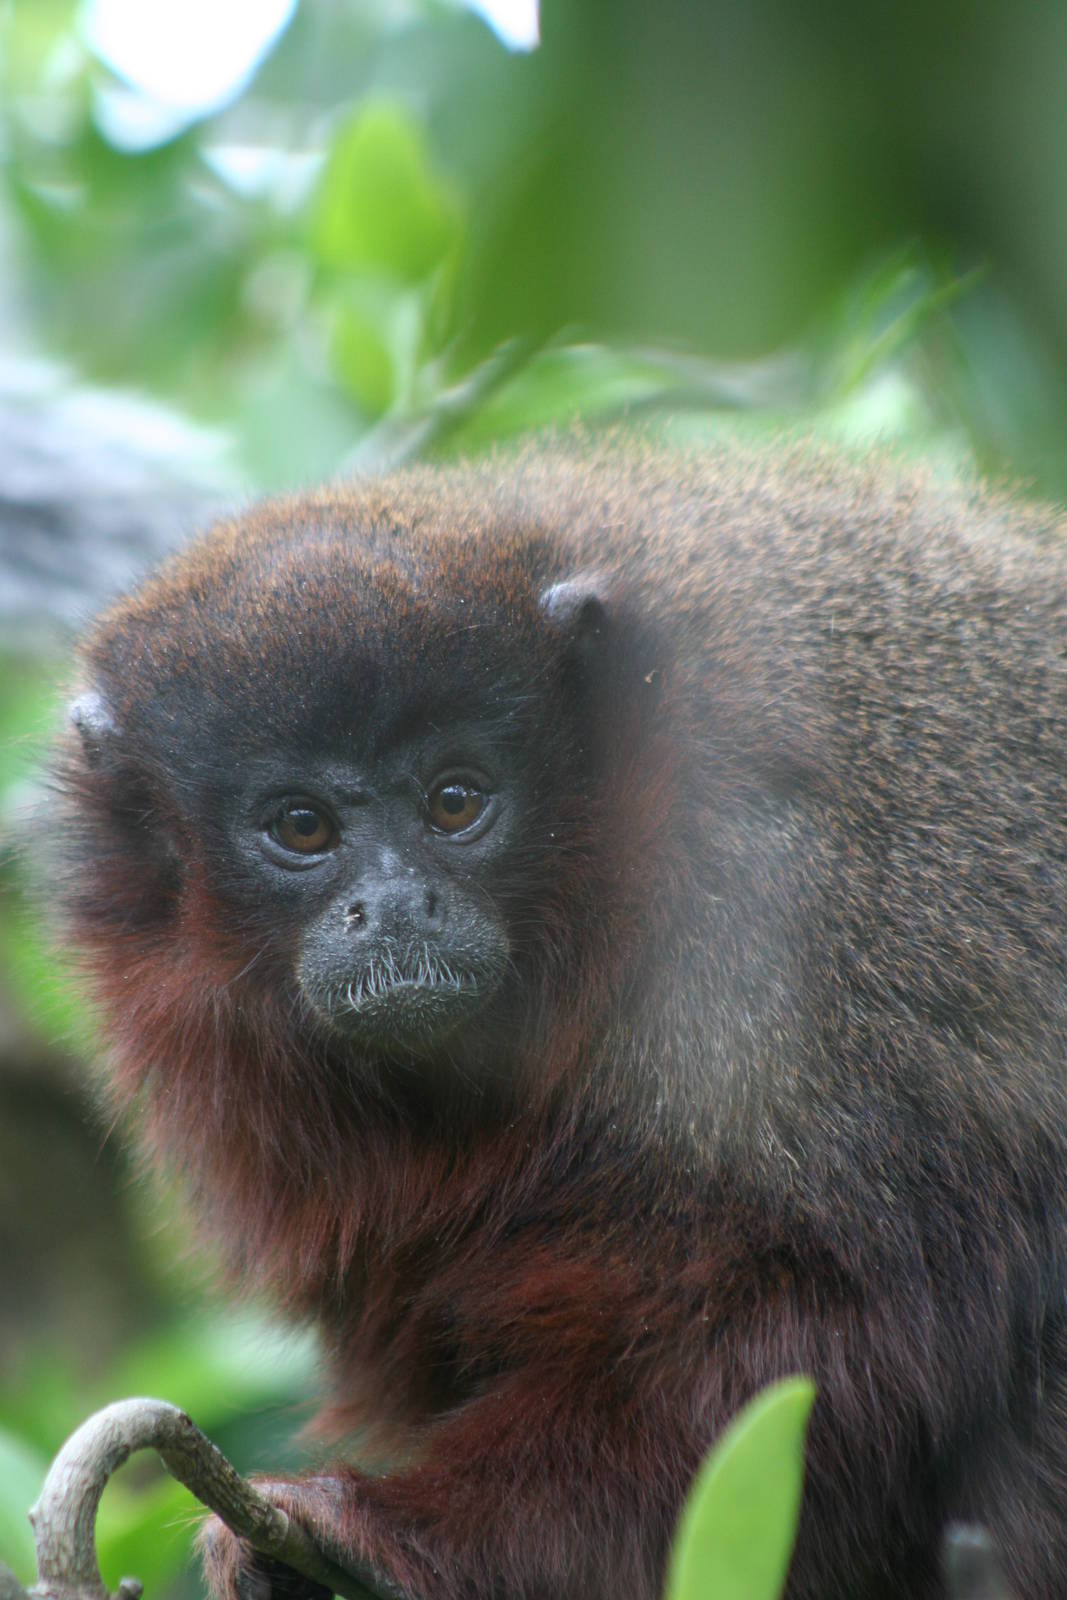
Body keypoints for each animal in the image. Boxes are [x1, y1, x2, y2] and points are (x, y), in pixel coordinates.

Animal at [56, 439, 1067, 1600]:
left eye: (456, 801)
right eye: (301, 827)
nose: (395, 904)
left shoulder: (781, 914)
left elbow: (818, 1334)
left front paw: (386, 1530)